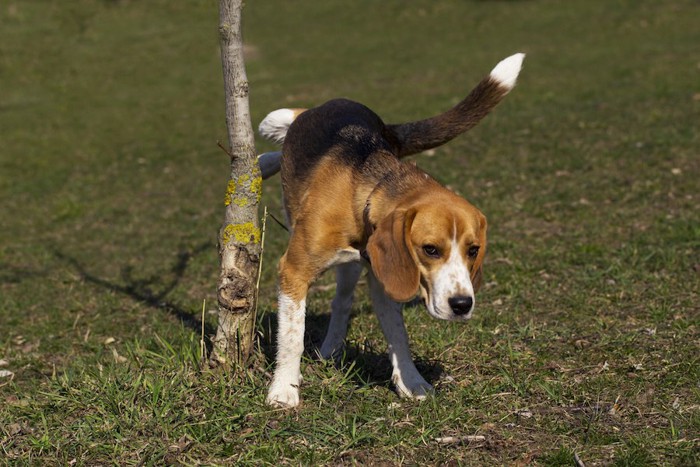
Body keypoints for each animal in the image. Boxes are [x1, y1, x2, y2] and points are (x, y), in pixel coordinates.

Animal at [260, 53, 524, 408]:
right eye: (430, 249)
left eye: (473, 251)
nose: (462, 304)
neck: (365, 192)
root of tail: (330, 102)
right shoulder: (293, 270)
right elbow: (292, 337)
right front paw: (284, 389)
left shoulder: (386, 278)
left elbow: (398, 335)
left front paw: (412, 383)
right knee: (280, 140)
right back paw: (263, 161)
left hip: (350, 268)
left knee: (342, 302)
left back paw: (331, 349)